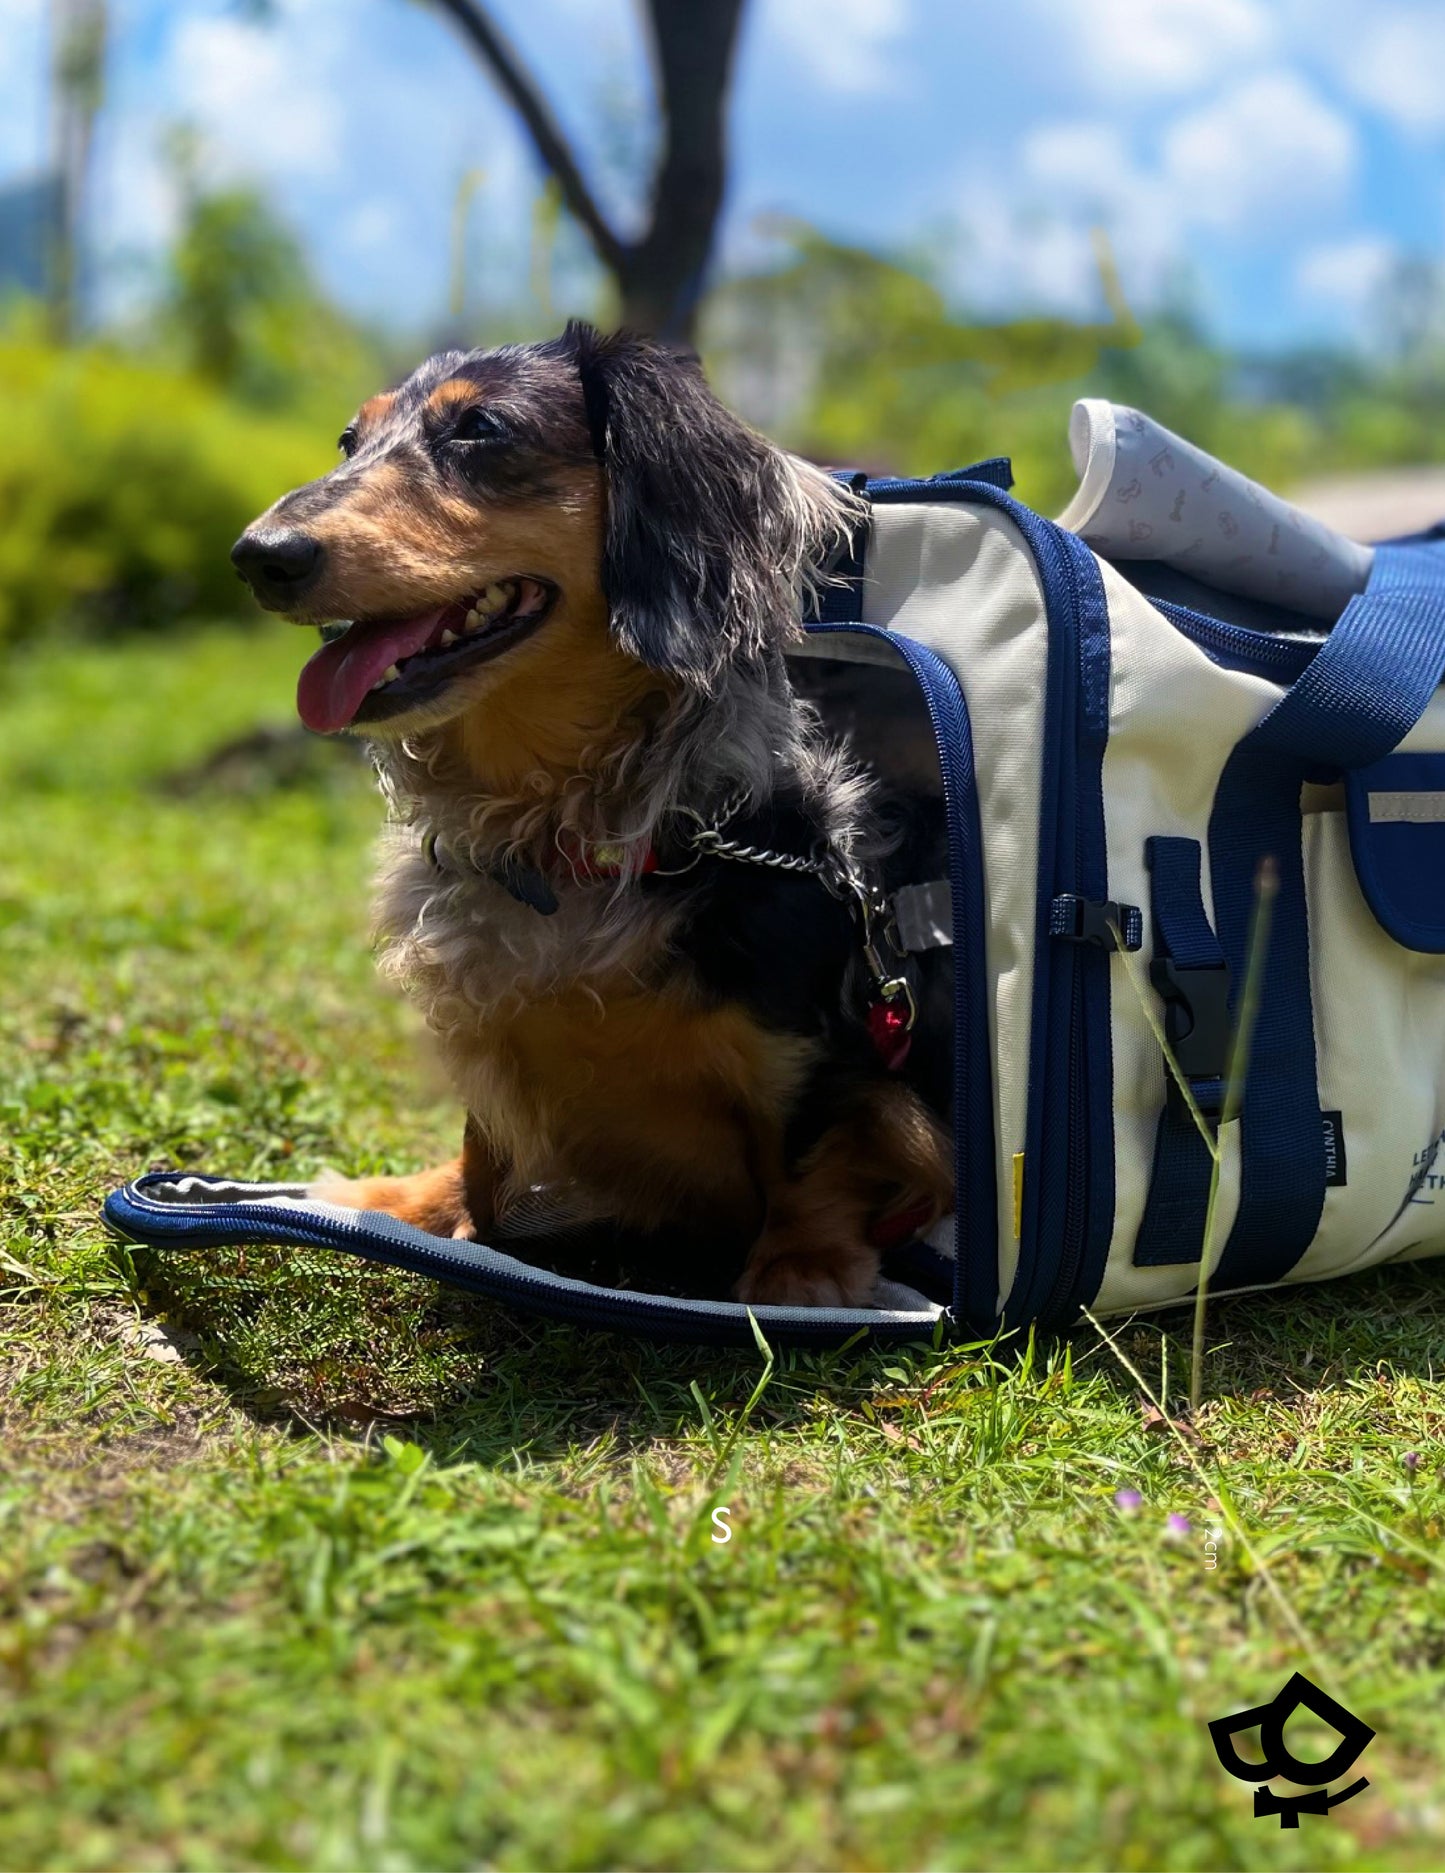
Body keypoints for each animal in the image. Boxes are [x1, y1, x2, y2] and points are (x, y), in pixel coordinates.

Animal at [231, 322, 955, 1311]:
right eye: (350, 440)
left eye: (480, 429)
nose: (258, 556)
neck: (565, 840)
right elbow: (484, 1140)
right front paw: (451, 1207)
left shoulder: (821, 1047)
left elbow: (805, 1143)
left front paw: (799, 1265)